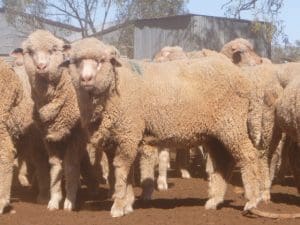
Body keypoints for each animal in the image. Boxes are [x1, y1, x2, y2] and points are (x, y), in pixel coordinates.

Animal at [67, 37, 264, 217]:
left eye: (101, 61)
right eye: (75, 62)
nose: (86, 79)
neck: (116, 83)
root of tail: (242, 77)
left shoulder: (127, 132)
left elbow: (121, 169)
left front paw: (118, 206)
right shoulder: (116, 138)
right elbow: (125, 172)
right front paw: (127, 203)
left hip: (231, 123)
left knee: (248, 155)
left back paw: (252, 201)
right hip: (216, 133)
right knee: (224, 162)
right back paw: (214, 200)